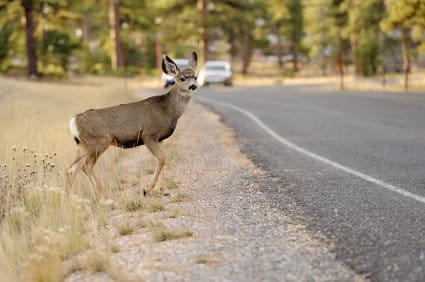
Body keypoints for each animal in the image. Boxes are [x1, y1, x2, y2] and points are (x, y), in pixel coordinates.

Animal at [65, 50, 198, 196]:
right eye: (182, 78)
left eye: (195, 77)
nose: (193, 86)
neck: (167, 110)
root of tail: (74, 121)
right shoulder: (148, 135)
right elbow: (162, 158)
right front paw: (147, 189)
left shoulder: (160, 139)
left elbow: (162, 160)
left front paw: (163, 190)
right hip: (98, 142)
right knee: (86, 166)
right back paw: (105, 192)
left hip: (83, 145)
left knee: (71, 168)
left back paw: (68, 198)